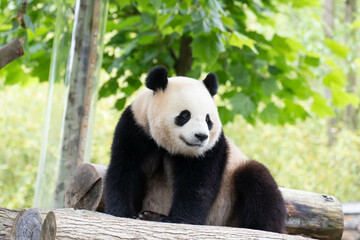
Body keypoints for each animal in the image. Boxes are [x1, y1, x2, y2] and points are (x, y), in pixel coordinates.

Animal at [104, 65, 286, 232]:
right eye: (185, 115)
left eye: (208, 119)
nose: (201, 136)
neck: (168, 146)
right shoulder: (136, 128)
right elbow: (125, 170)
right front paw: (125, 213)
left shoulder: (210, 150)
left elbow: (197, 185)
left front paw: (173, 219)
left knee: (258, 181)